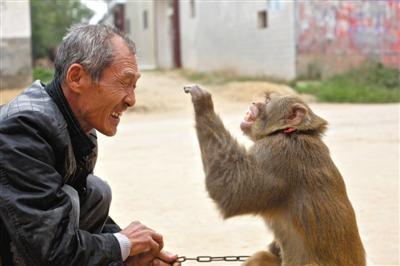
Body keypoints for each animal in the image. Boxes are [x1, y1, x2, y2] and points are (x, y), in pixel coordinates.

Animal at [184, 85, 366, 266]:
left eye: (268, 100)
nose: (255, 102)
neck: (292, 132)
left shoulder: (275, 153)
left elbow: (232, 191)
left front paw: (202, 104)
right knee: (261, 257)